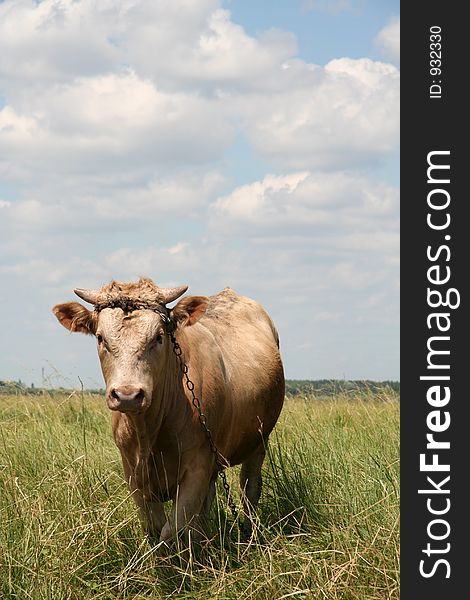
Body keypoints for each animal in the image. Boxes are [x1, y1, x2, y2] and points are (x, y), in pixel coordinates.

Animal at [53, 278, 284, 548]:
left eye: (158, 337)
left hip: (259, 440)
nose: (127, 395)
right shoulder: (133, 474)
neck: (148, 433)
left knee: (249, 488)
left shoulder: (196, 467)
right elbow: (155, 529)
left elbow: (171, 532)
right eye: (100, 338)